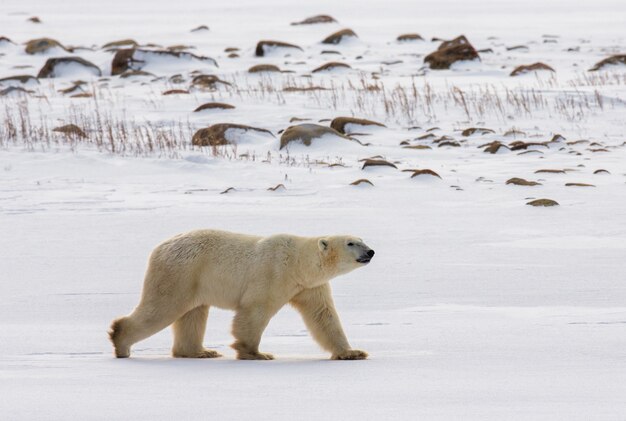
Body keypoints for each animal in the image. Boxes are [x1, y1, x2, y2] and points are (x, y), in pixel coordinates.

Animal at [108, 230, 372, 360]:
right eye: (351, 243)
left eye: (361, 240)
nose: (370, 251)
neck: (298, 262)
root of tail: (159, 248)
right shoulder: (273, 273)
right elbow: (255, 311)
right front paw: (255, 353)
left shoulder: (309, 287)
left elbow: (323, 316)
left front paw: (352, 353)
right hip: (181, 273)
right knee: (162, 308)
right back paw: (121, 343)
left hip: (194, 280)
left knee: (193, 314)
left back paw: (201, 352)